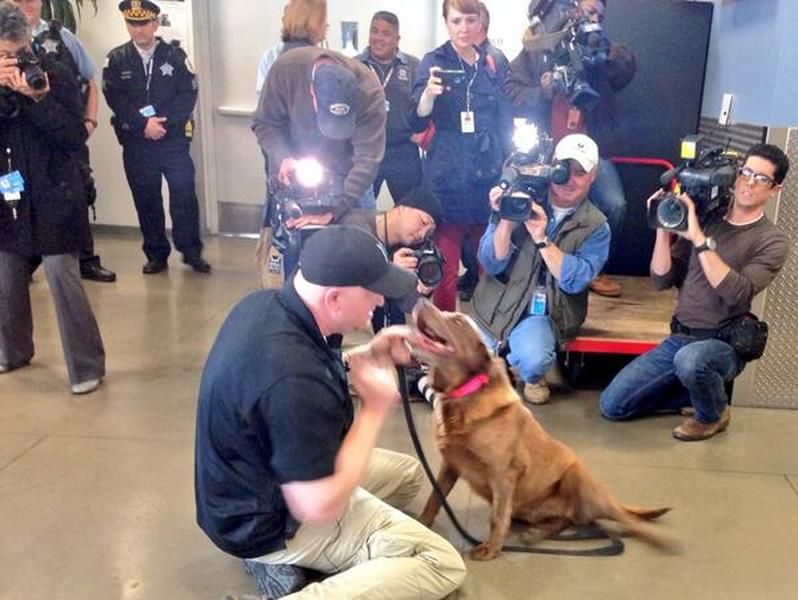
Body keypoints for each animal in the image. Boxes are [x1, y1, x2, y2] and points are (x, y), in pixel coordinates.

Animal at [412, 302, 676, 560]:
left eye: (457, 321)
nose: (421, 301)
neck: (463, 397)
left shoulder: (503, 474)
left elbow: (497, 518)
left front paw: (492, 549)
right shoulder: (450, 465)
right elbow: (434, 498)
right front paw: (422, 523)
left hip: (578, 477)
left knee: (624, 519)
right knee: (565, 520)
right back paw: (536, 533)